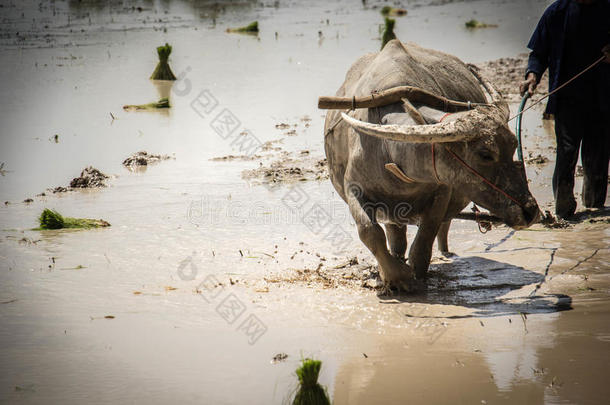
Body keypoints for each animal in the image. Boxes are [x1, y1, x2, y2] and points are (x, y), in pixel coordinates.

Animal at [324, 39, 536, 288]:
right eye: (485, 154)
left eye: (514, 145)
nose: (530, 211)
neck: (394, 163)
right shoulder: (354, 189)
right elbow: (369, 231)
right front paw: (395, 277)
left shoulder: (442, 192)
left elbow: (426, 235)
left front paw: (415, 274)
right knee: (395, 236)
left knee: (442, 229)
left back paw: (445, 253)